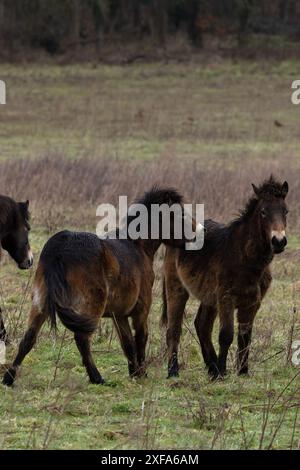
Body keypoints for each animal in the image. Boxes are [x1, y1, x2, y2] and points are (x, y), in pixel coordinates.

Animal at [163, 178, 290, 380]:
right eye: (263, 212)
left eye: (285, 211)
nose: (279, 241)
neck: (245, 257)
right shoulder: (226, 298)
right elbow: (226, 334)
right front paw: (223, 370)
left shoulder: (252, 303)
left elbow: (245, 336)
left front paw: (242, 372)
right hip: (177, 288)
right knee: (173, 329)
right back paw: (174, 371)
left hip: (209, 297)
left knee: (202, 325)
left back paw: (212, 368)